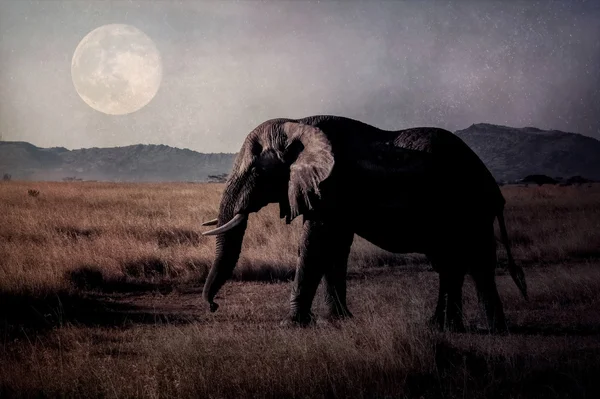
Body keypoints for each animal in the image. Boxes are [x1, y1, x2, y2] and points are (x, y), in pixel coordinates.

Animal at [199, 114, 528, 332]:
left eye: (257, 171)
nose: (213, 306)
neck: (298, 123)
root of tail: (495, 189)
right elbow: (334, 248)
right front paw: (338, 320)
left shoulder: (332, 186)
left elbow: (315, 245)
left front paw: (291, 325)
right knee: (450, 265)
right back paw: (443, 327)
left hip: (470, 208)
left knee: (477, 262)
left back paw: (494, 331)